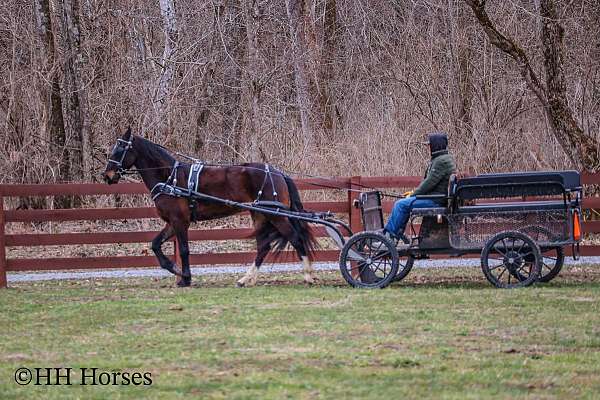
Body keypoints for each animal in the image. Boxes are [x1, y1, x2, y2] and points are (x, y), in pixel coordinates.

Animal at [102, 128, 318, 288]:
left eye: (120, 149)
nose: (107, 176)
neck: (170, 178)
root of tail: (277, 172)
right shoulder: (172, 223)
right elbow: (155, 244)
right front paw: (174, 269)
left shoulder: (180, 221)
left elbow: (184, 249)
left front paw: (185, 277)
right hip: (261, 215)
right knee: (263, 247)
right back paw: (246, 279)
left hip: (276, 216)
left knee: (295, 239)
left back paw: (308, 276)